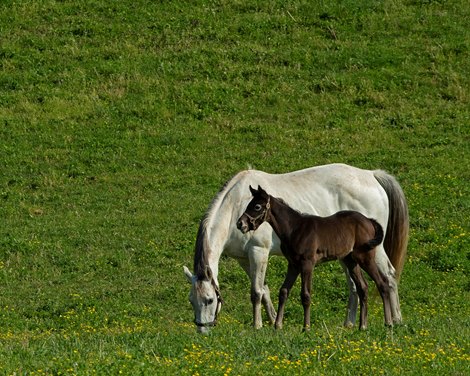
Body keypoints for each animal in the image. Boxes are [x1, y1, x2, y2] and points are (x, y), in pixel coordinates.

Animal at [237, 187, 394, 330]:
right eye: (249, 204)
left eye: (257, 206)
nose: (240, 224)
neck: (294, 229)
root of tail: (369, 220)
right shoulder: (293, 264)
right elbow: (283, 291)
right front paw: (278, 325)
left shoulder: (307, 264)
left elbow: (305, 295)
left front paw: (306, 327)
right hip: (351, 261)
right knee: (363, 288)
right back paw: (363, 326)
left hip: (365, 258)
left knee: (383, 284)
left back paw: (388, 323)